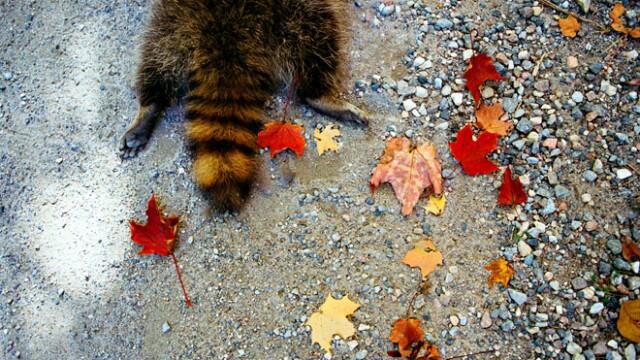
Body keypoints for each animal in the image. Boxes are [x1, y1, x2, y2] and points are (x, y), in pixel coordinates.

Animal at [120, 0, 370, 211]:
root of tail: (227, 34)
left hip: (173, 24)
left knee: (155, 58)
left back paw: (150, 105)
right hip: (296, 9)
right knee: (320, 36)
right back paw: (320, 95)